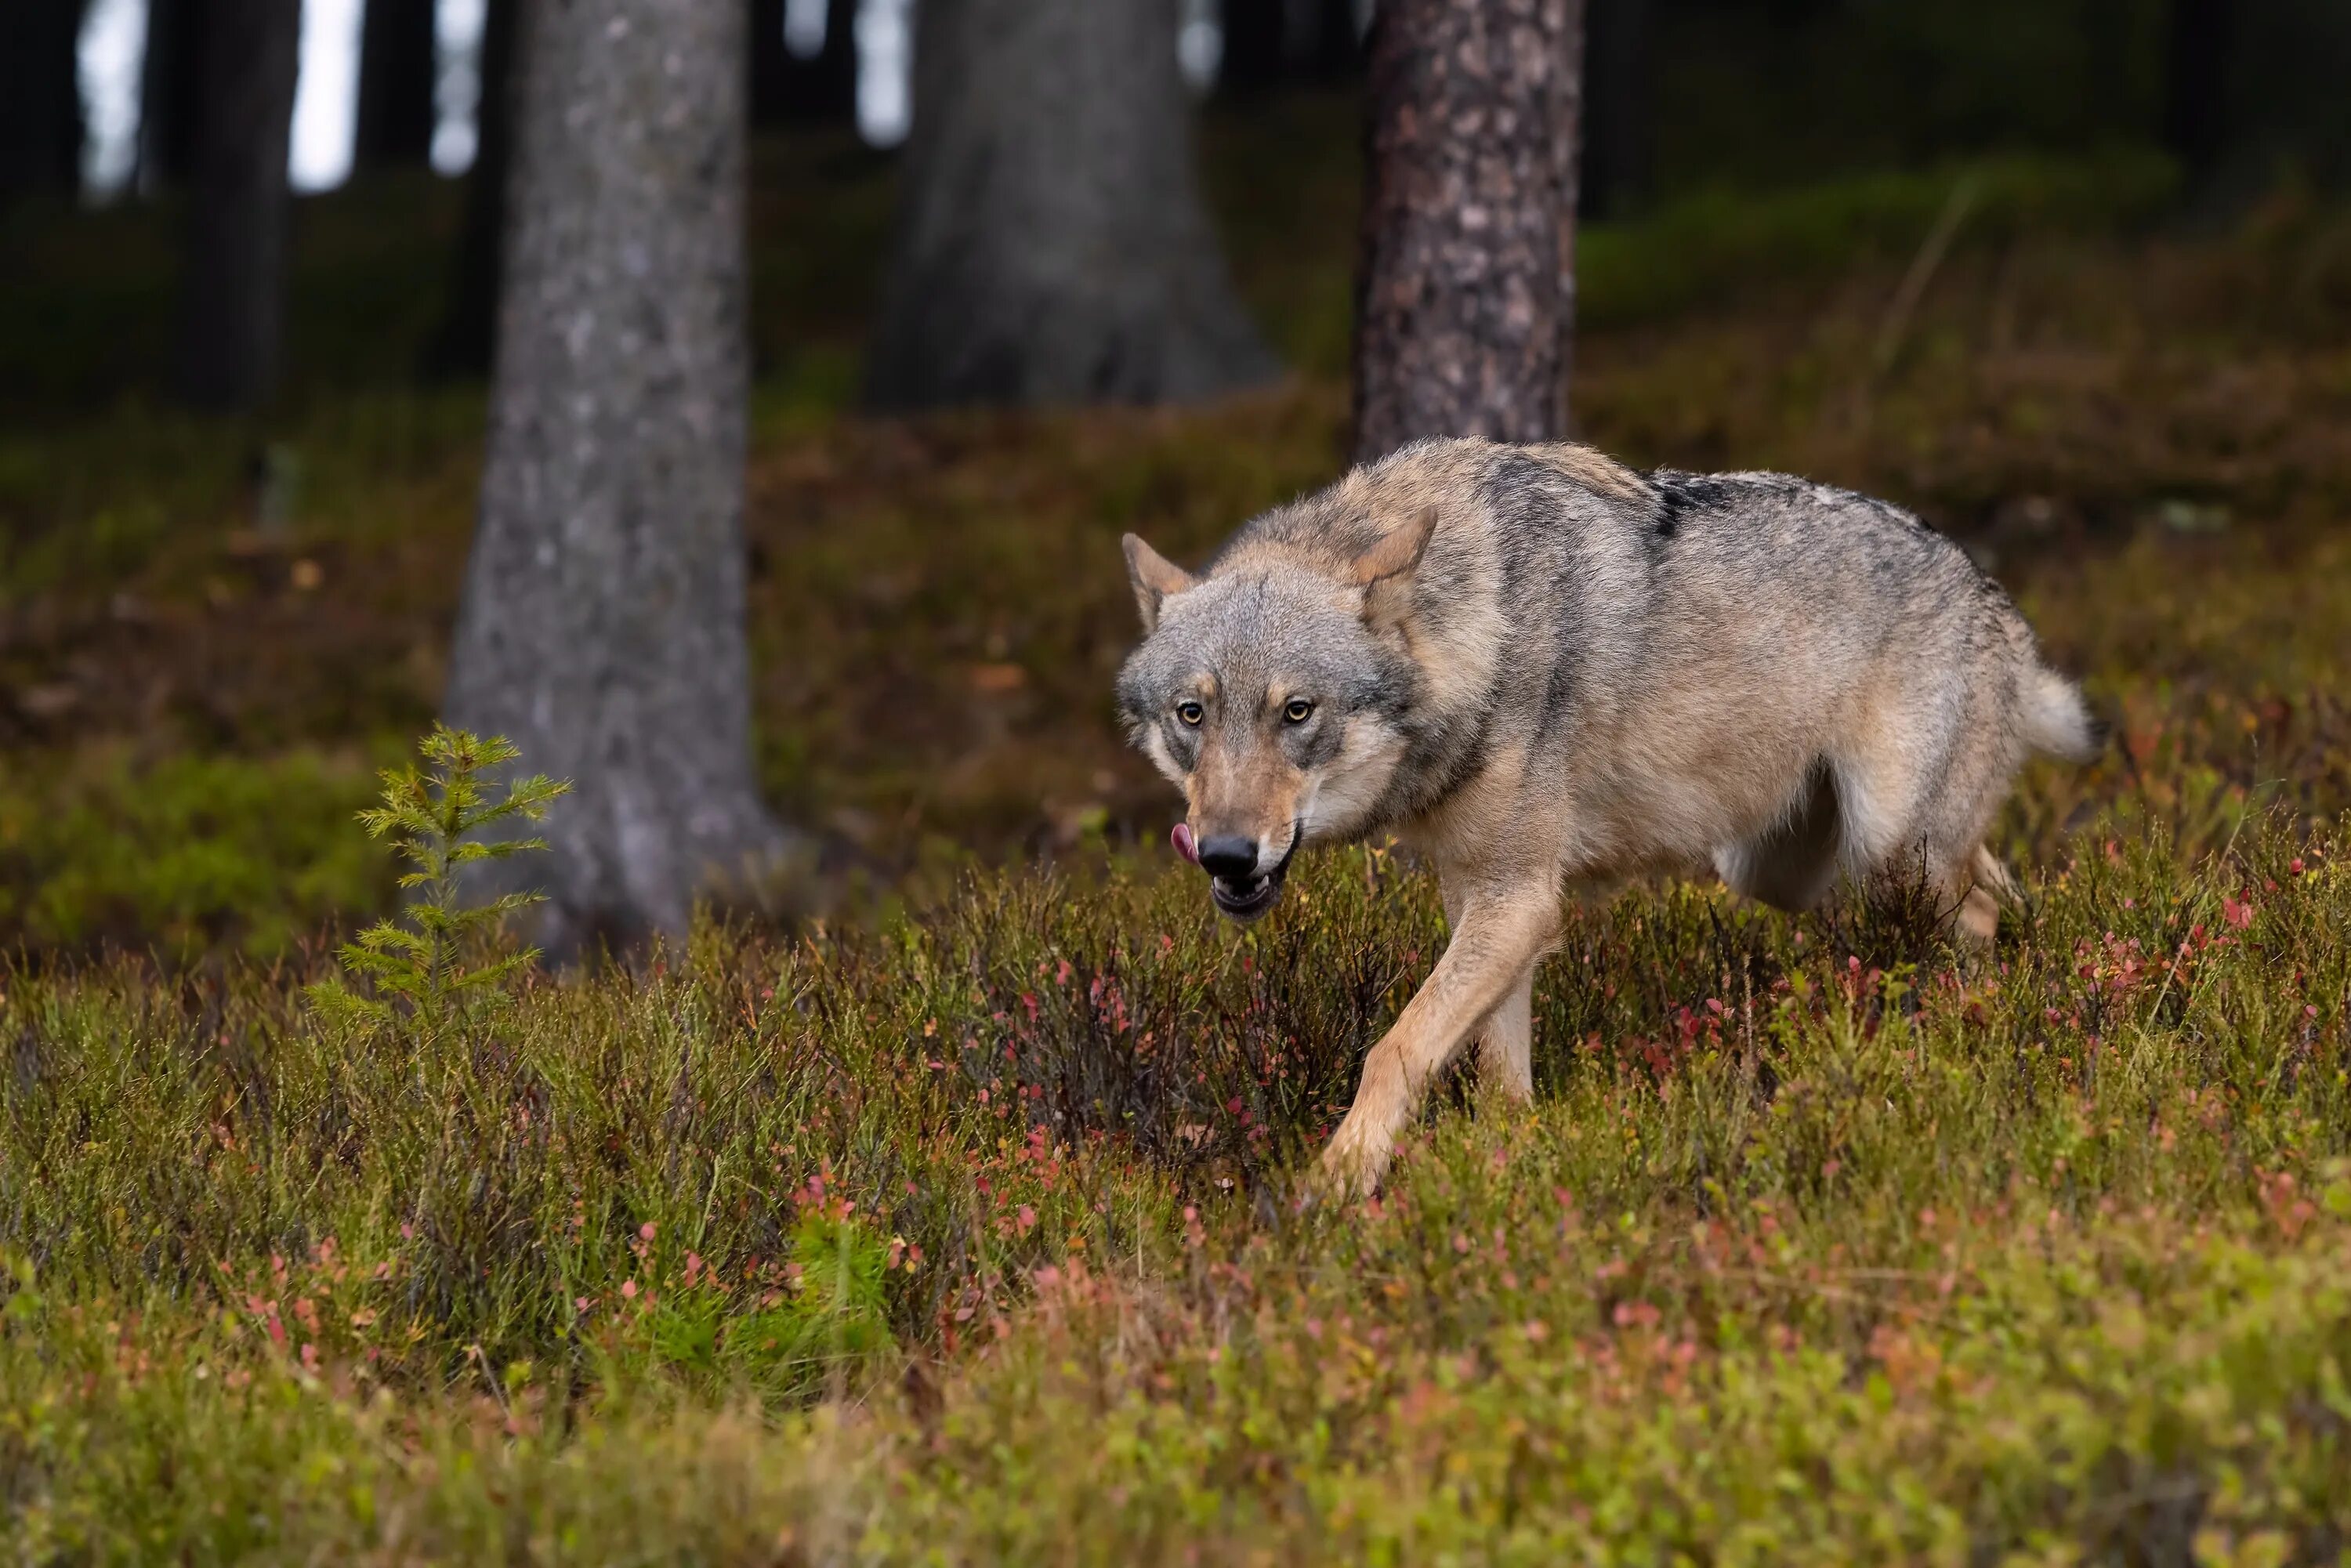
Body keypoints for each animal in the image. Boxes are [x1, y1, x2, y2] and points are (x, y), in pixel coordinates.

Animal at [1110, 435, 2106, 1194]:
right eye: (1192, 715)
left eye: (1297, 711)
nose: (1225, 855)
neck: (1477, 627)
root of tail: (1986, 589)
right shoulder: (1487, 897)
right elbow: (1492, 1072)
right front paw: (1510, 1163)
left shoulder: (1519, 900)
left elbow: (1391, 1050)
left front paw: (1333, 1189)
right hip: (1785, 870)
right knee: (1998, 882)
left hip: (1892, 846)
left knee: (1979, 905)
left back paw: (1976, 1026)